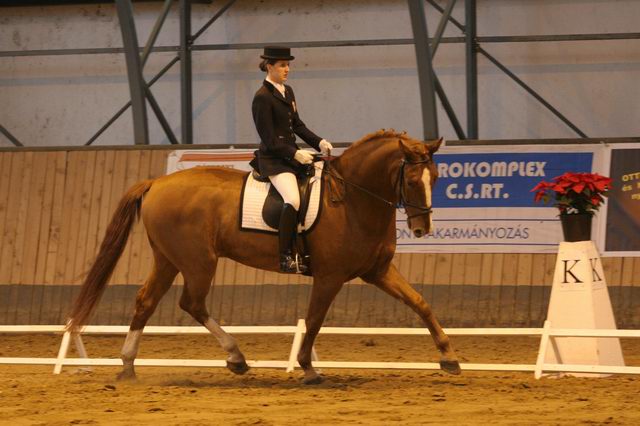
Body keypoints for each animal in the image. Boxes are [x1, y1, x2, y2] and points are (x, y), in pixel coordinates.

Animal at [67, 129, 461, 384]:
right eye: (412, 180)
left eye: (437, 178)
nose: (422, 228)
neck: (351, 199)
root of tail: (156, 183)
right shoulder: (329, 276)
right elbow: (314, 320)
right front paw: (308, 368)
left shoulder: (377, 271)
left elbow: (420, 302)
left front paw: (449, 357)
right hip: (198, 261)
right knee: (192, 302)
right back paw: (236, 357)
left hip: (168, 259)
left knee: (146, 301)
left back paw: (128, 365)